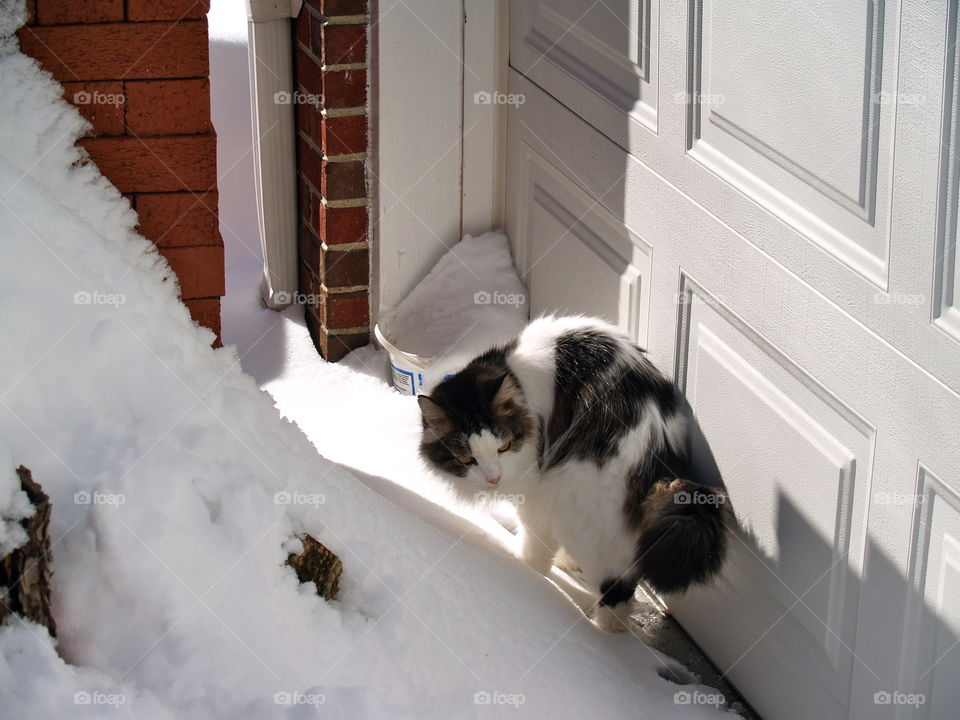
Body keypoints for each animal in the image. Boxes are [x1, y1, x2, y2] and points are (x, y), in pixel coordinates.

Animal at [416, 316, 732, 632]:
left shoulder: (535, 494)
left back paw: (600, 631)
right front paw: (564, 563)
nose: (494, 478)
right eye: (467, 458)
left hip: (571, 498)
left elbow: (536, 547)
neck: (515, 378)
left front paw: (528, 570)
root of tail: (657, 454)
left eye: (504, 447)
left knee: (614, 589)